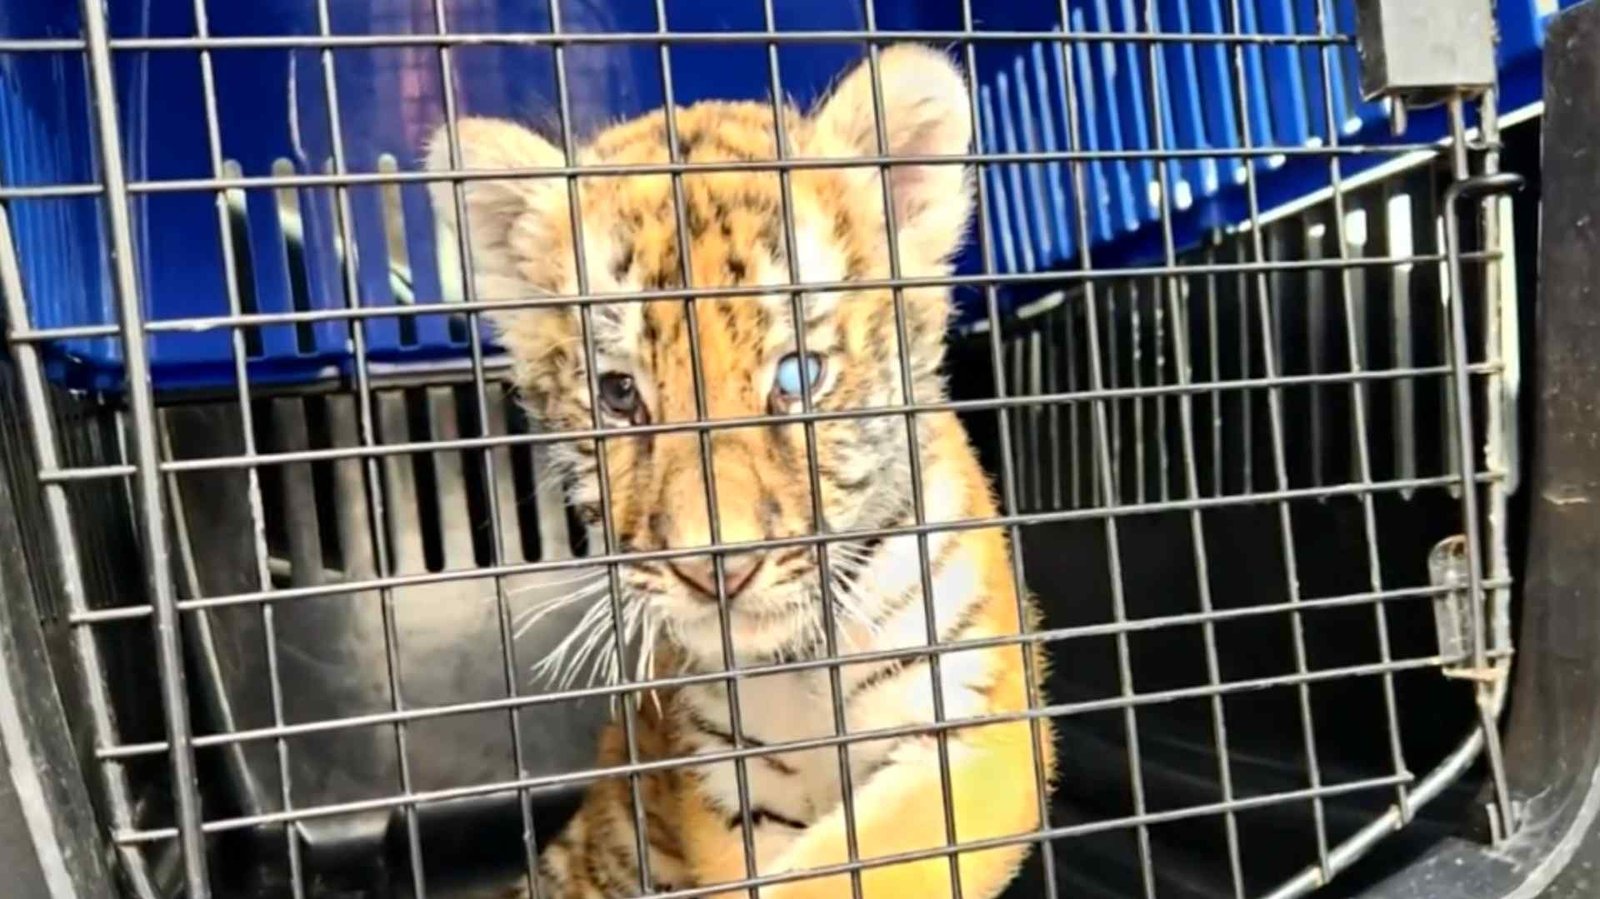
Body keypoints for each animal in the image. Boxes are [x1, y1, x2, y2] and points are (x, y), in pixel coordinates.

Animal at [425, 44, 1056, 899]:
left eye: (796, 375)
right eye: (620, 392)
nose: (713, 568)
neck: (800, 665)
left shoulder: (978, 731)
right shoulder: (724, 782)